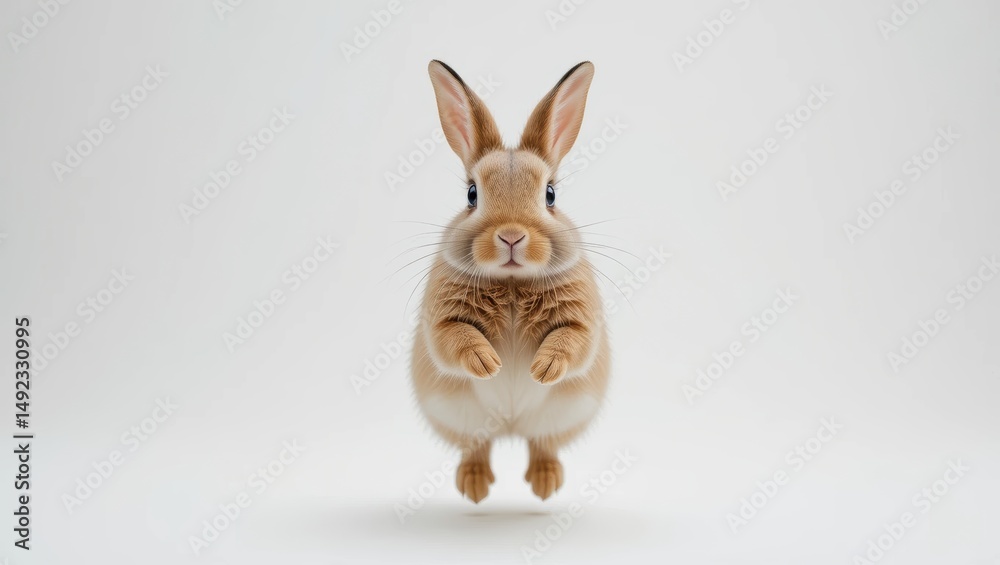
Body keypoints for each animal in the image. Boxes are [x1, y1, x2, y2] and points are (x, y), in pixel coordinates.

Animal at [410, 60, 610, 503]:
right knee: (478, 445)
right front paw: (488, 364)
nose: (512, 236)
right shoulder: (441, 322)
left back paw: (544, 483)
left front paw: (543, 368)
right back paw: (475, 486)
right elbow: (456, 338)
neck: (513, 283)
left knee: (542, 442)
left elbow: (571, 341)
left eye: (550, 194)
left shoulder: (583, 322)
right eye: (471, 194)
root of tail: (511, 429)